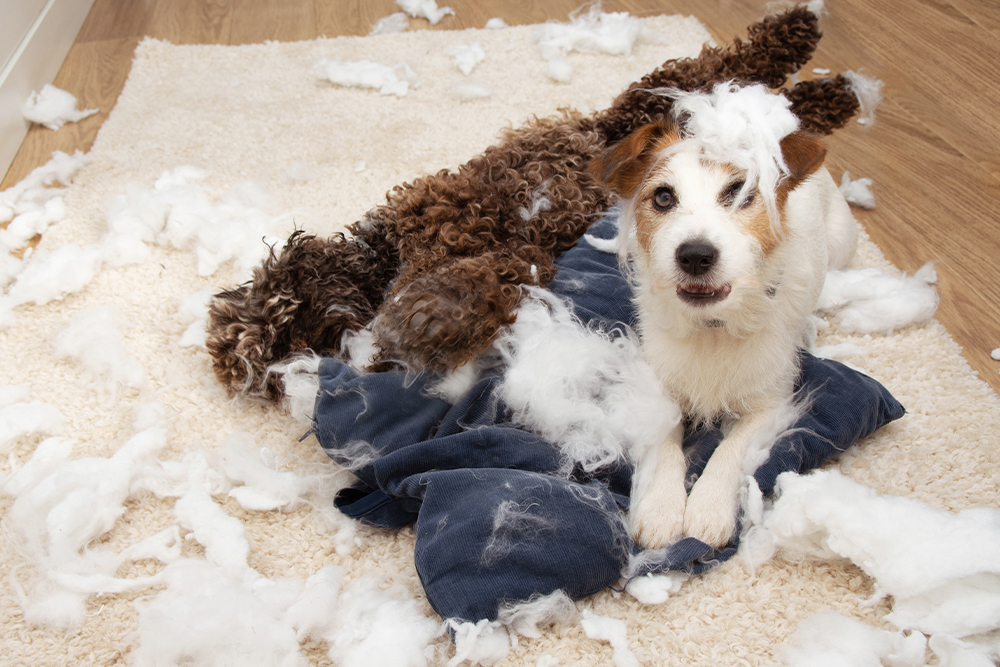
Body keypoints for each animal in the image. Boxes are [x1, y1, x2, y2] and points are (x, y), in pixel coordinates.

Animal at [590, 83, 858, 549]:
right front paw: (661, 506)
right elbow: (665, 442)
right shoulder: (659, 390)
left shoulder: (770, 402)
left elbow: (730, 450)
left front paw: (708, 507)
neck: (712, 328)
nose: (695, 255)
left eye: (741, 194)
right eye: (664, 197)